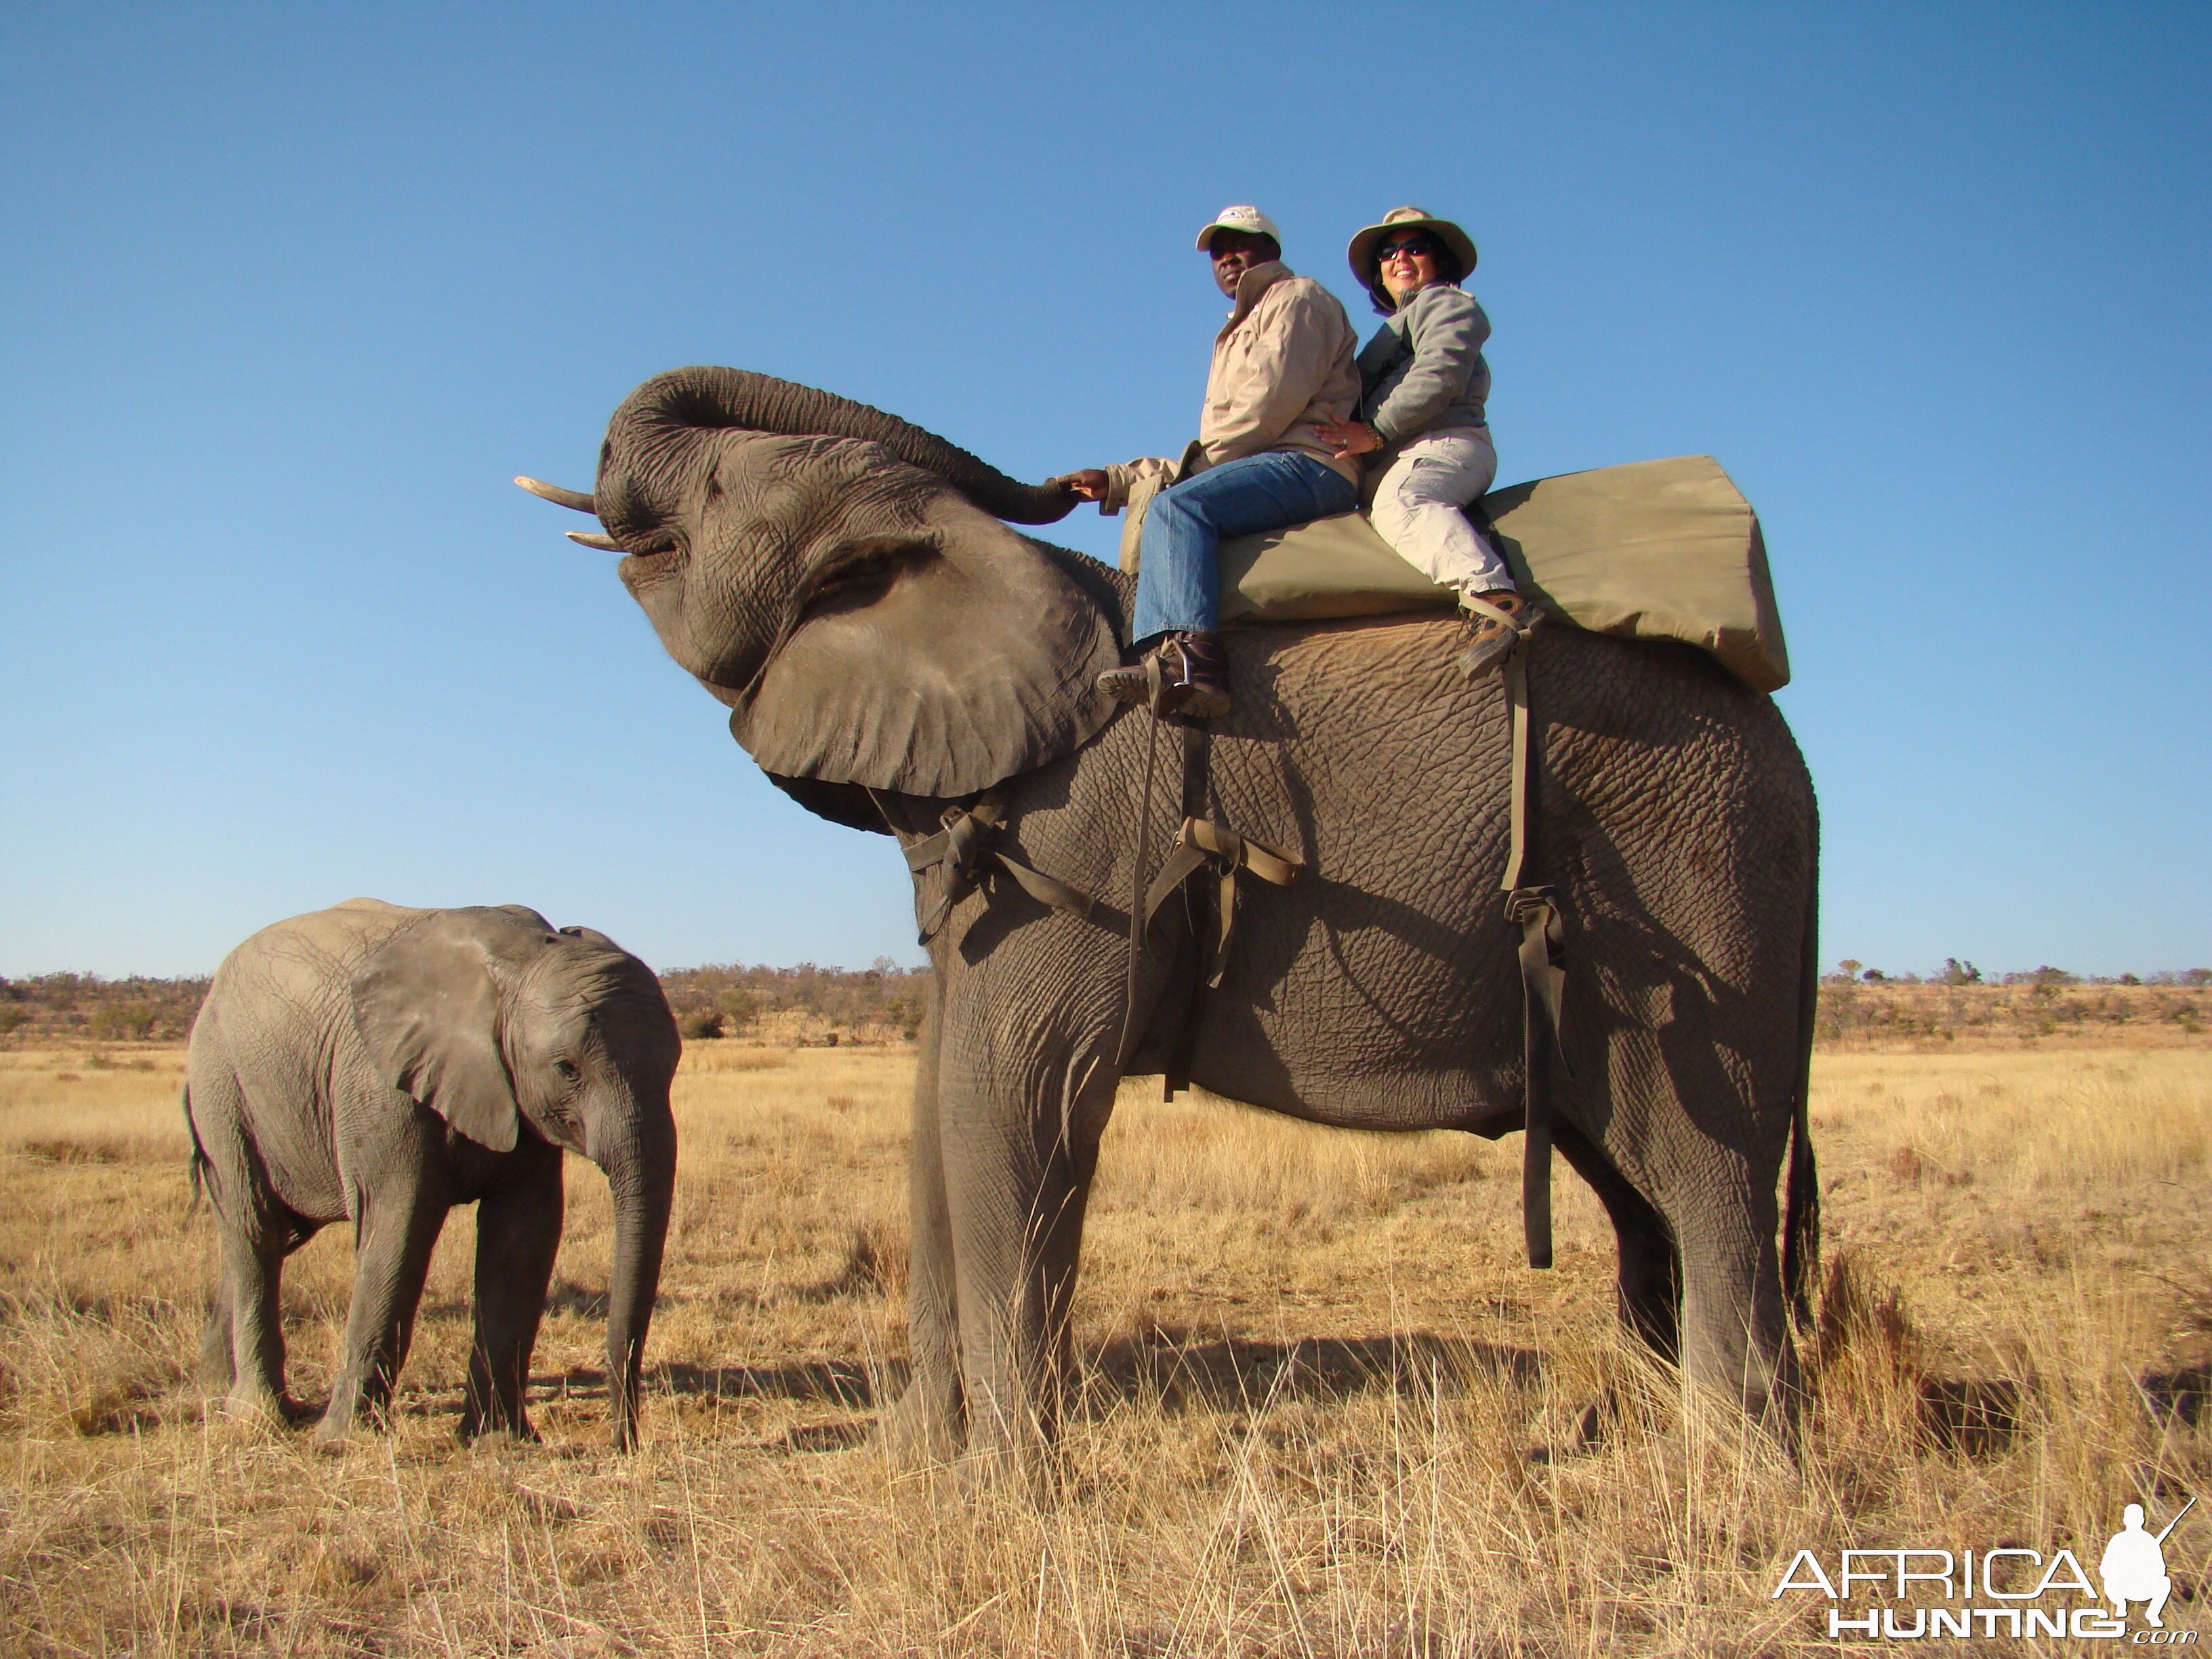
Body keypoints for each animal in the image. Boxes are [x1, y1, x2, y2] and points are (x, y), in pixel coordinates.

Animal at [186, 902, 676, 1451]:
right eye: (567, 1068)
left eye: (674, 1065)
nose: (623, 1442)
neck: (518, 959)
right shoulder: (380, 1086)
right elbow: (398, 1230)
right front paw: (341, 1443)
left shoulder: (519, 1102)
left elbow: (523, 1240)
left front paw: (499, 1443)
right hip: (222, 1087)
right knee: (256, 1230)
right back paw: (256, 1416)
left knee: (269, 1236)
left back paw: (211, 1389)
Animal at [517, 367, 1814, 1469]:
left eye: (718, 490)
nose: (621, 1441)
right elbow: (936, 1104)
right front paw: (919, 1466)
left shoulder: (1083, 834)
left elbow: (1009, 1088)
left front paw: (1004, 1494)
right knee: (1640, 1189)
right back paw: (1637, 1441)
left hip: (1702, 861)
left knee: (1707, 1165)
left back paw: (1729, 1477)